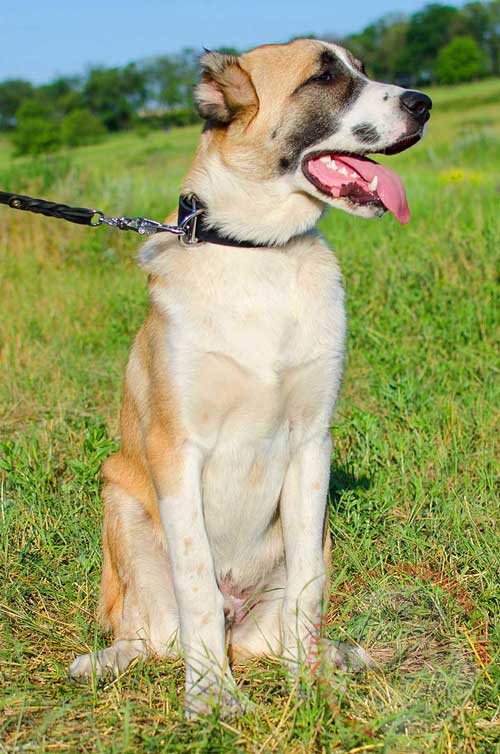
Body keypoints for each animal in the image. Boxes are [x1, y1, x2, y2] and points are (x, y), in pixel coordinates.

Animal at [68, 36, 432, 716]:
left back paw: (329, 658)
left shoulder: (312, 443)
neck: (260, 254)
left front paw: (309, 687)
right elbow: (195, 586)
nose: (424, 103)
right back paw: (105, 662)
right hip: (120, 501)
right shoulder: (175, 451)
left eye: (363, 69)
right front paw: (212, 698)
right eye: (324, 77)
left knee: (278, 626)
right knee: (153, 636)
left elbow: (307, 590)